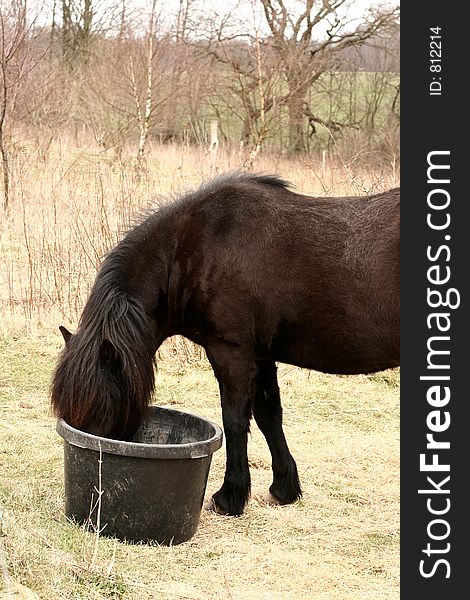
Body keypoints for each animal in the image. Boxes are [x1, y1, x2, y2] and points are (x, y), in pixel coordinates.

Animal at [51, 173, 398, 516]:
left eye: (101, 408)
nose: (88, 458)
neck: (192, 246)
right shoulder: (261, 355)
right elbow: (268, 415)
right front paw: (283, 488)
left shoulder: (230, 352)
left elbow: (234, 420)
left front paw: (230, 497)